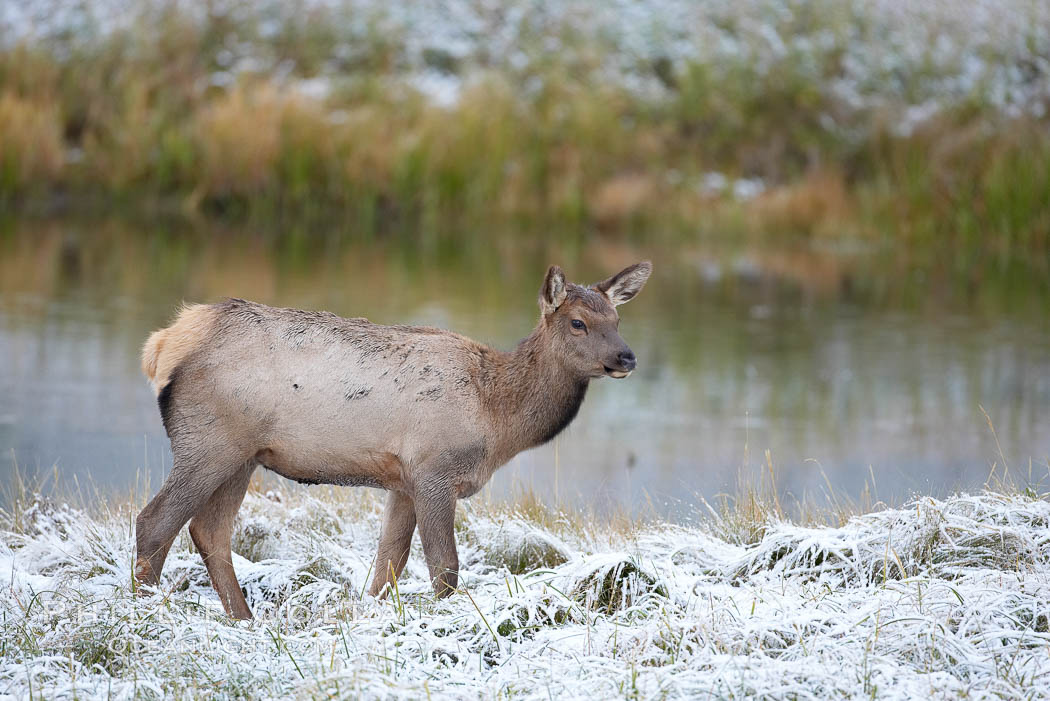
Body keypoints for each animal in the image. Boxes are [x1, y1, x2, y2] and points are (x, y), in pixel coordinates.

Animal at [136, 260, 651, 617]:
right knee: (154, 523)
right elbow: (445, 566)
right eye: (577, 322)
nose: (627, 357)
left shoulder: (403, 481)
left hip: (241, 455)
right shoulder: (434, 469)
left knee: (209, 532)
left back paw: (244, 619)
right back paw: (145, 612)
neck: (496, 419)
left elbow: (388, 564)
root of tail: (164, 343)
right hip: (208, 441)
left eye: (617, 320)